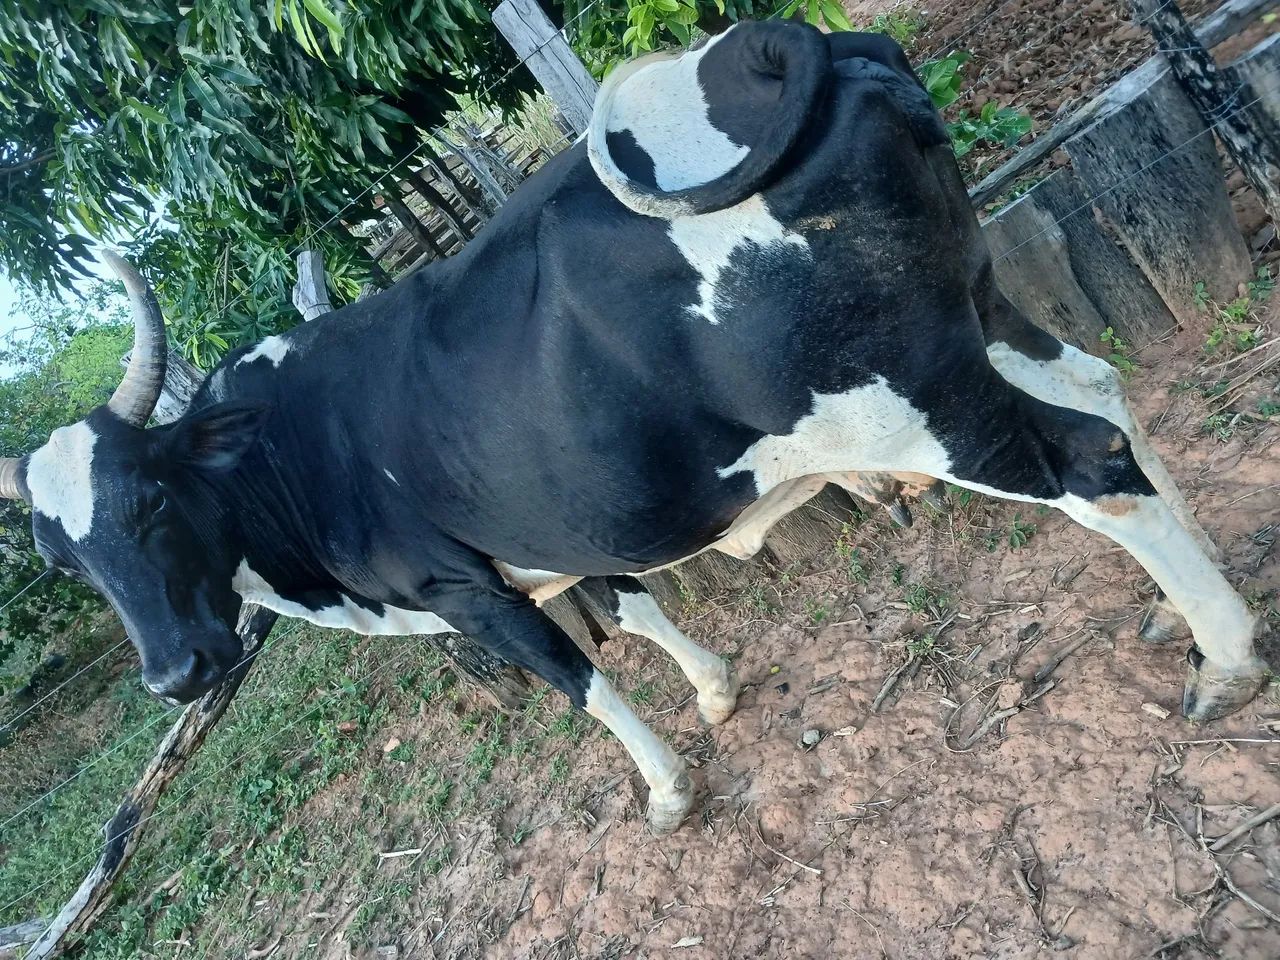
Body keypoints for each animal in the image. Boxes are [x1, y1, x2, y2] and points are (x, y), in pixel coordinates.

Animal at [0, 22, 1267, 834]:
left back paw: (1225, 658)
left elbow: (580, 683)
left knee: (1089, 465)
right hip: (980, 310)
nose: (176, 673)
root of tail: (786, 45)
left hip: (914, 405)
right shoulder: (558, 531)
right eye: (62, 560)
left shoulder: (460, 587)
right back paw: (1183, 609)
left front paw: (664, 788)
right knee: (1101, 390)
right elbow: (637, 608)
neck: (293, 450)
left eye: (151, 498)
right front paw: (713, 690)